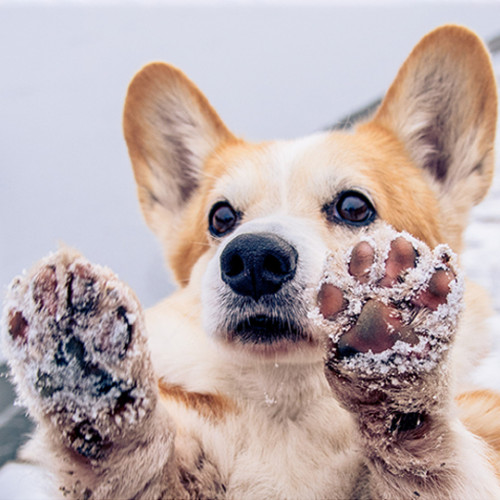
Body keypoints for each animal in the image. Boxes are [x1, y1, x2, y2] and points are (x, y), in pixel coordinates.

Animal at [0, 24, 500, 500]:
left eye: (354, 207)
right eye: (221, 217)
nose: (254, 258)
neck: (288, 410)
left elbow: (431, 461)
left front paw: (392, 348)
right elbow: (133, 468)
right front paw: (84, 358)